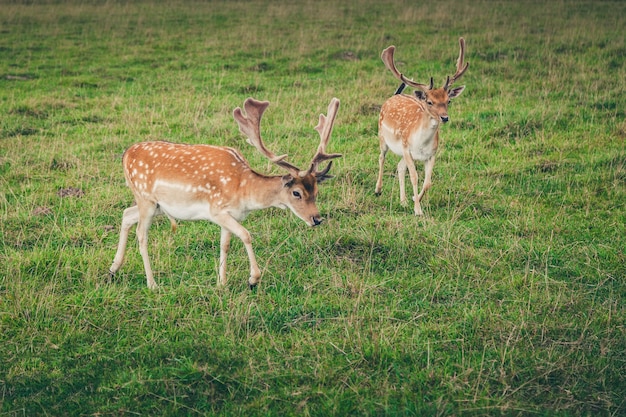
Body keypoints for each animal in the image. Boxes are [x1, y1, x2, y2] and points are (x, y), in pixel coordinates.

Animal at [109, 96, 338, 290]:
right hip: (145, 198)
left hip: (155, 205)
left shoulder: (230, 215)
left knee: (126, 214)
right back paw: (152, 284)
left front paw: (221, 282)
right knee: (141, 234)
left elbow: (225, 244)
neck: (243, 190)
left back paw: (113, 268)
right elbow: (246, 235)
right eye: (297, 193)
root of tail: (125, 154)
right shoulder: (217, 210)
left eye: (316, 190)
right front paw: (253, 279)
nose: (317, 219)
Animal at [372, 36, 466, 214]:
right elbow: (415, 177)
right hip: (382, 136)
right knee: (381, 157)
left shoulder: (431, 154)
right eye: (429, 102)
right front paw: (418, 210)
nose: (445, 117)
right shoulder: (407, 149)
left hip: (401, 151)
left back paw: (402, 201)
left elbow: (427, 182)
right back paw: (378, 190)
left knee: (399, 167)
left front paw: (414, 199)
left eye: (448, 101)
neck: (421, 144)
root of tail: (394, 96)